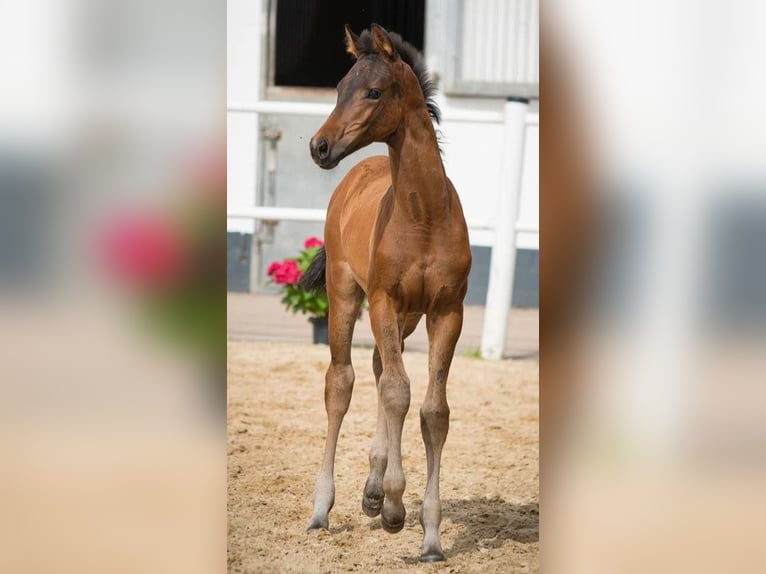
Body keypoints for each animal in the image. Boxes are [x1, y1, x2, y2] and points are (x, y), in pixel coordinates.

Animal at [302, 23, 472, 564]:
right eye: (339, 88)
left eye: (374, 92)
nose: (319, 146)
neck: (423, 217)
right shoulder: (383, 301)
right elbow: (399, 392)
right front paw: (397, 509)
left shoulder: (447, 312)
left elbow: (433, 411)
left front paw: (431, 537)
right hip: (345, 294)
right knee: (343, 382)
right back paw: (323, 509)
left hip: (407, 317)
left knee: (379, 369)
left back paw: (373, 490)